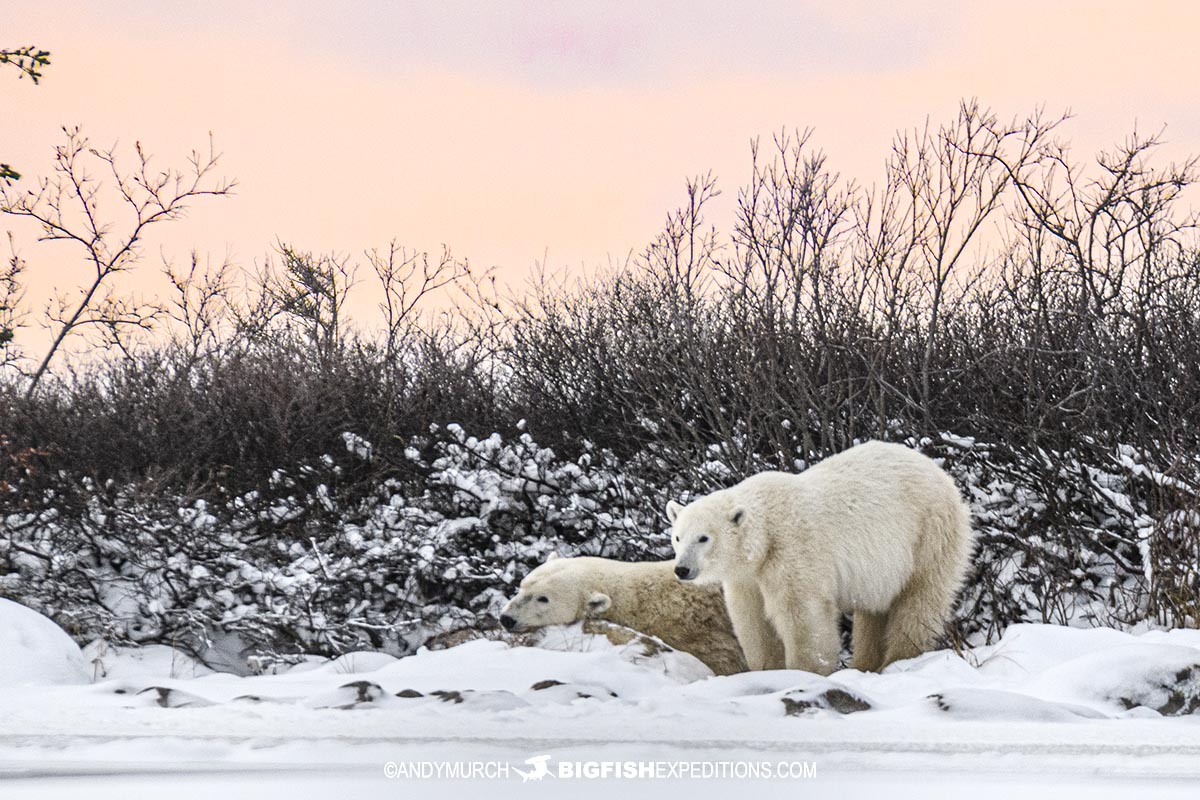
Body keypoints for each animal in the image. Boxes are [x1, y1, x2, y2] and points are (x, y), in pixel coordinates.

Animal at [667, 440, 975, 676]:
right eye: (678, 537)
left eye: (703, 538)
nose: (682, 569)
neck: (766, 533)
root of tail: (941, 474)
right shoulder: (748, 577)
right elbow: (753, 621)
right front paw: (766, 669)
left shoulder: (793, 550)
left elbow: (804, 616)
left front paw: (805, 672)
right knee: (874, 611)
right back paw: (865, 663)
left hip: (929, 534)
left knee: (920, 600)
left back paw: (899, 658)